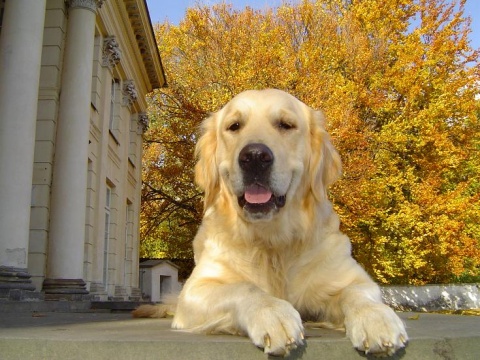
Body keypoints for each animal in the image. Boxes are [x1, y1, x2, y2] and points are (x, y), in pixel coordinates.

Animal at [133, 88, 406, 356]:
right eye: (234, 126)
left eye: (286, 125)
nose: (254, 156)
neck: (273, 241)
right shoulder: (196, 289)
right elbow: (244, 287)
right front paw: (273, 313)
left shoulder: (350, 277)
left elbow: (357, 293)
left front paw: (376, 318)